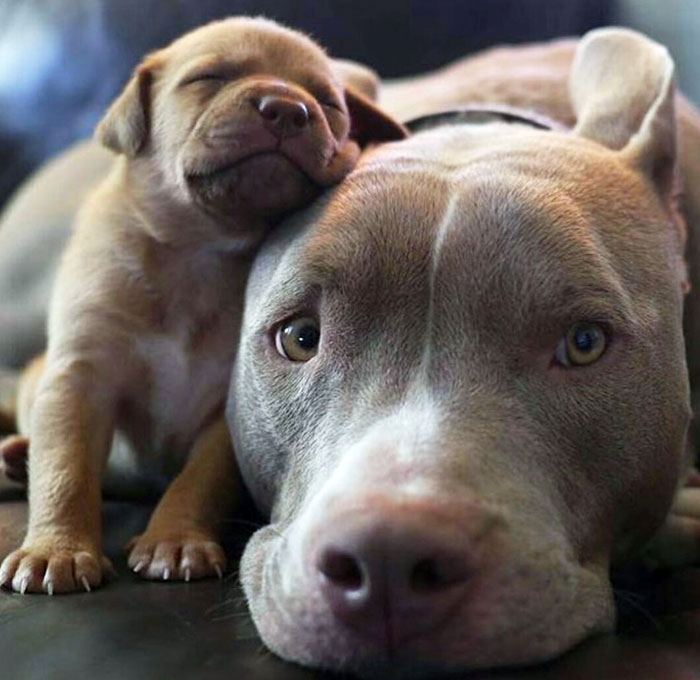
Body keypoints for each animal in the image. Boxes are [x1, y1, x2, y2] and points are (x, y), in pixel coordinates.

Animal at [0, 13, 404, 592]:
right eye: (208, 78)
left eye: (328, 101)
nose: (288, 107)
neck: (200, 253)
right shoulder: (79, 378)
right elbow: (65, 469)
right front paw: (57, 549)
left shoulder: (225, 414)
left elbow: (199, 480)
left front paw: (176, 540)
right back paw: (17, 457)